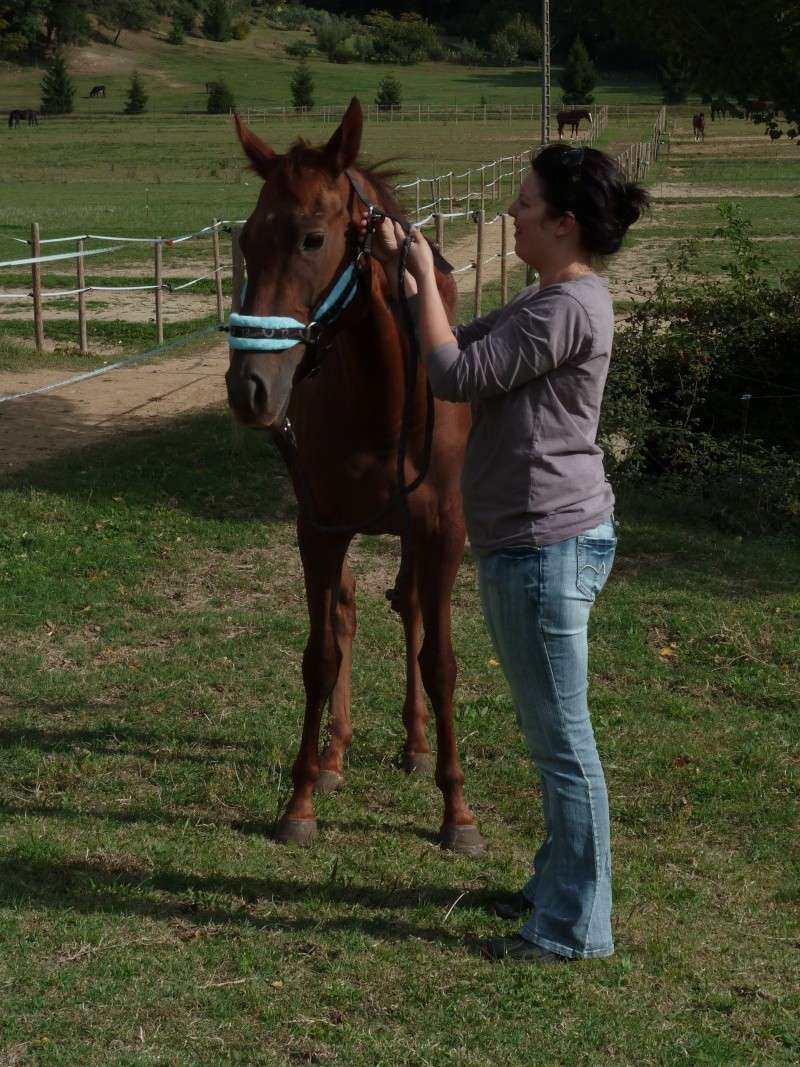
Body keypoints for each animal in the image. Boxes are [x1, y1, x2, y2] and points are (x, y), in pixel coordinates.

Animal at [227, 96, 488, 853]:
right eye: (246, 241)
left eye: (312, 239)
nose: (249, 388)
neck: (384, 398)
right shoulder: (318, 528)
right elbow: (319, 656)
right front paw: (301, 798)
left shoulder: (442, 531)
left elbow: (440, 661)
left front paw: (457, 811)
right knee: (345, 614)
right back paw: (336, 755)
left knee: (410, 610)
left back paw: (417, 746)